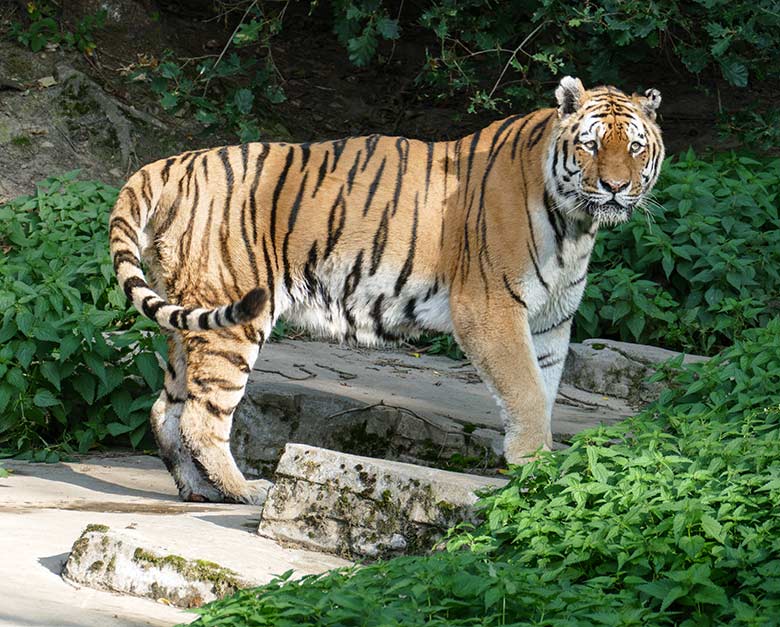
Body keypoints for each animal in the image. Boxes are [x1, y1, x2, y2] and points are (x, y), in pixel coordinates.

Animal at [108, 77, 664, 506]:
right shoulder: (491, 310)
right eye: (591, 144)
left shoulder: (550, 322)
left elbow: (543, 391)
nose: (616, 187)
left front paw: (542, 469)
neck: (575, 226)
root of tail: (169, 163)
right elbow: (525, 392)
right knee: (201, 417)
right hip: (234, 319)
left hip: (190, 316)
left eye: (635, 147)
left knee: (166, 410)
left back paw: (197, 490)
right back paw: (244, 491)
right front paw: (533, 466)